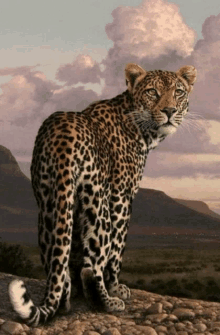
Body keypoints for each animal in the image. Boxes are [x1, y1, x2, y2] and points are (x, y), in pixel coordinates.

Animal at [9, 62, 196, 326]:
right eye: (152, 92)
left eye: (178, 92)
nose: (169, 110)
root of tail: (63, 138)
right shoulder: (122, 195)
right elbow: (117, 249)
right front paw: (116, 288)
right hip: (97, 203)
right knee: (93, 265)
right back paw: (106, 301)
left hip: (48, 202)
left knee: (56, 261)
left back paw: (64, 303)